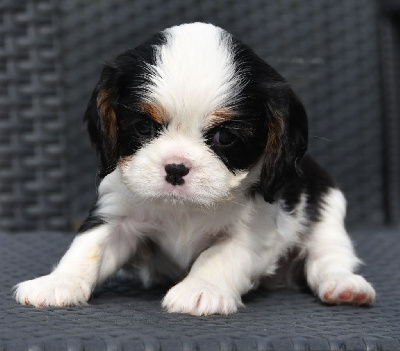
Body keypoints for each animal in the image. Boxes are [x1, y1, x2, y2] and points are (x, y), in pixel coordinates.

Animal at [13, 23, 376, 318]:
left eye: (225, 137)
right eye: (143, 127)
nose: (176, 168)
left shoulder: (253, 232)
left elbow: (220, 255)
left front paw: (201, 290)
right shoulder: (117, 215)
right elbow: (88, 247)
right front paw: (58, 283)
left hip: (327, 214)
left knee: (328, 257)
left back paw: (344, 287)